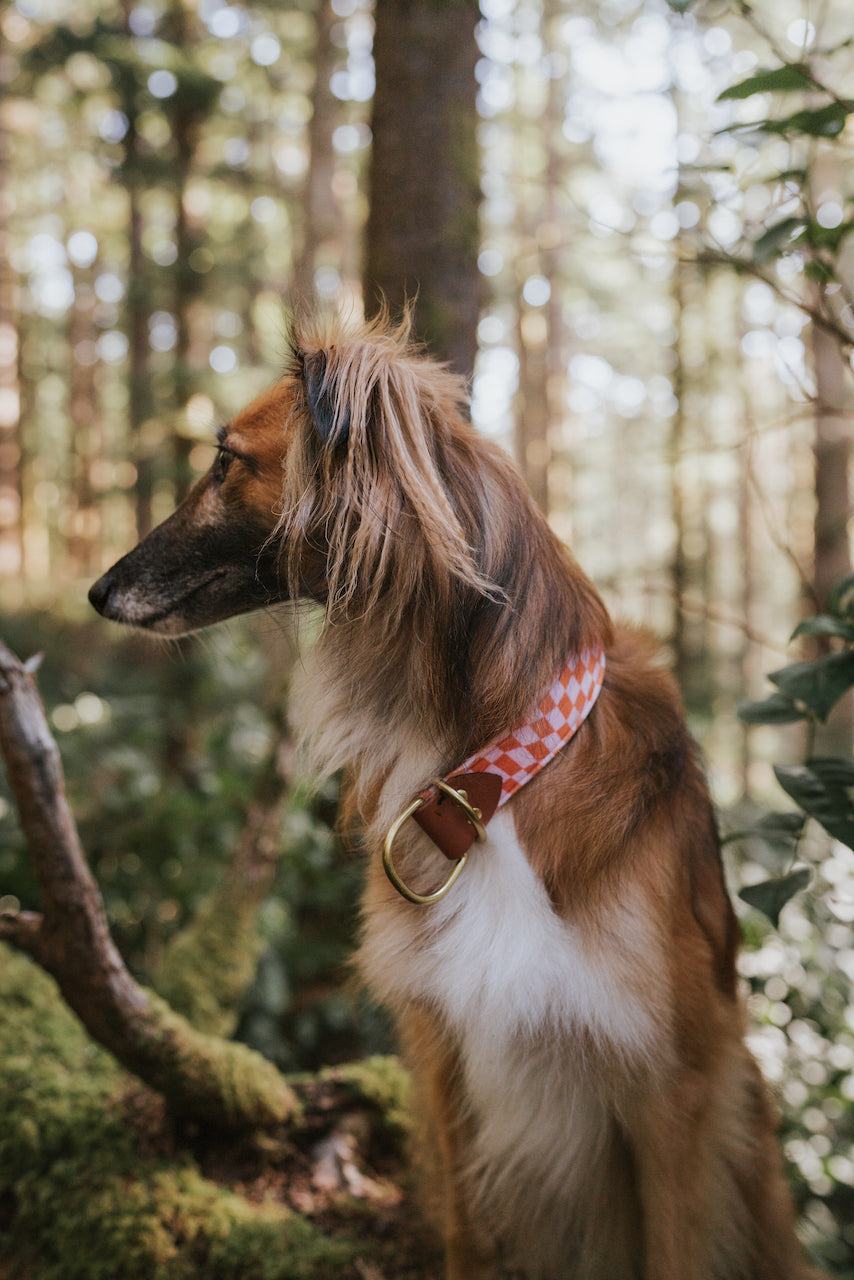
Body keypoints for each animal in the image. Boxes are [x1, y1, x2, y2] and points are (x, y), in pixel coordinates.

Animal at [88, 309, 819, 1280]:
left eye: (225, 460)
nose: (97, 592)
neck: (490, 777)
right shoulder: (447, 1059)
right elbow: (469, 1238)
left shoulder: (678, 1089)